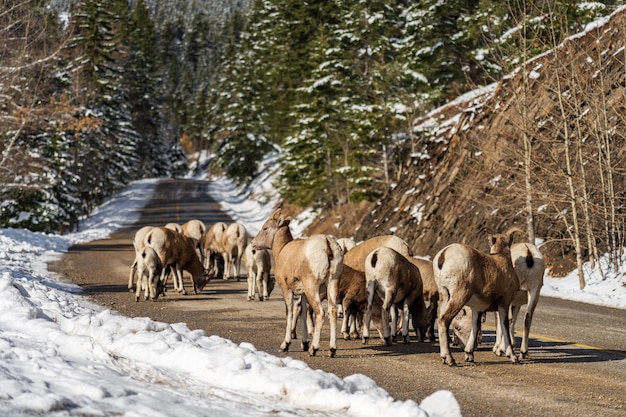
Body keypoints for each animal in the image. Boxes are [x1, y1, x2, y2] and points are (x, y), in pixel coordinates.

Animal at [251, 206, 344, 356]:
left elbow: (289, 313)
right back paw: (332, 350)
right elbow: (303, 312)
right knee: (333, 311)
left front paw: (285, 345)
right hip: (332, 282)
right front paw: (304, 343)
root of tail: (328, 244)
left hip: (313, 286)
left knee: (320, 312)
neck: (281, 250)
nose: (253, 244)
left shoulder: (287, 289)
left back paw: (313, 349)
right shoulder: (303, 293)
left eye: (265, 228)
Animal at [432, 229, 520, 366]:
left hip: (444, 295)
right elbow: (504, 325)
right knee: (444, 320)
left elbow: (475, 325)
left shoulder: (477, 308)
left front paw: (469, 355)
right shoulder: (504, 303)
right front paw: (513, 357)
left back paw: (444, 358)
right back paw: (450, 359)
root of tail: (444, 255)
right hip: (459, 296)